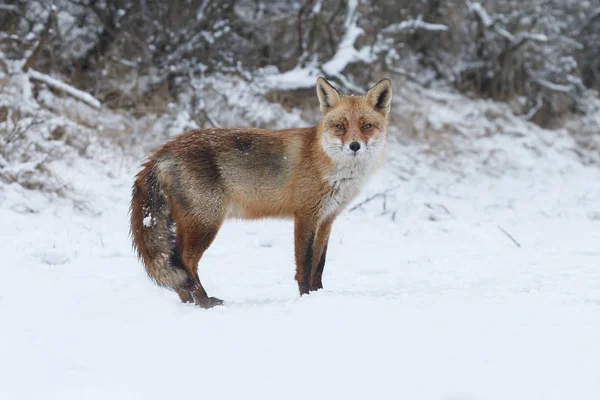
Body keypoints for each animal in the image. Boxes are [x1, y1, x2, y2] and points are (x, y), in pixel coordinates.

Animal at [130, 76, 394, 308]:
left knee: (176, 262)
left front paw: (319, 295)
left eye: (366, 126)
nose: (354, 146)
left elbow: (319, 264)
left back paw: (188, 301)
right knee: (185, 261)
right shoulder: (305, 216)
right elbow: (305, 264)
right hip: (206, 222)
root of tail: (164, 149)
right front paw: (306, 297)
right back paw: (204, 302)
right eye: (340, 127)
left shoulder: (327, 219)